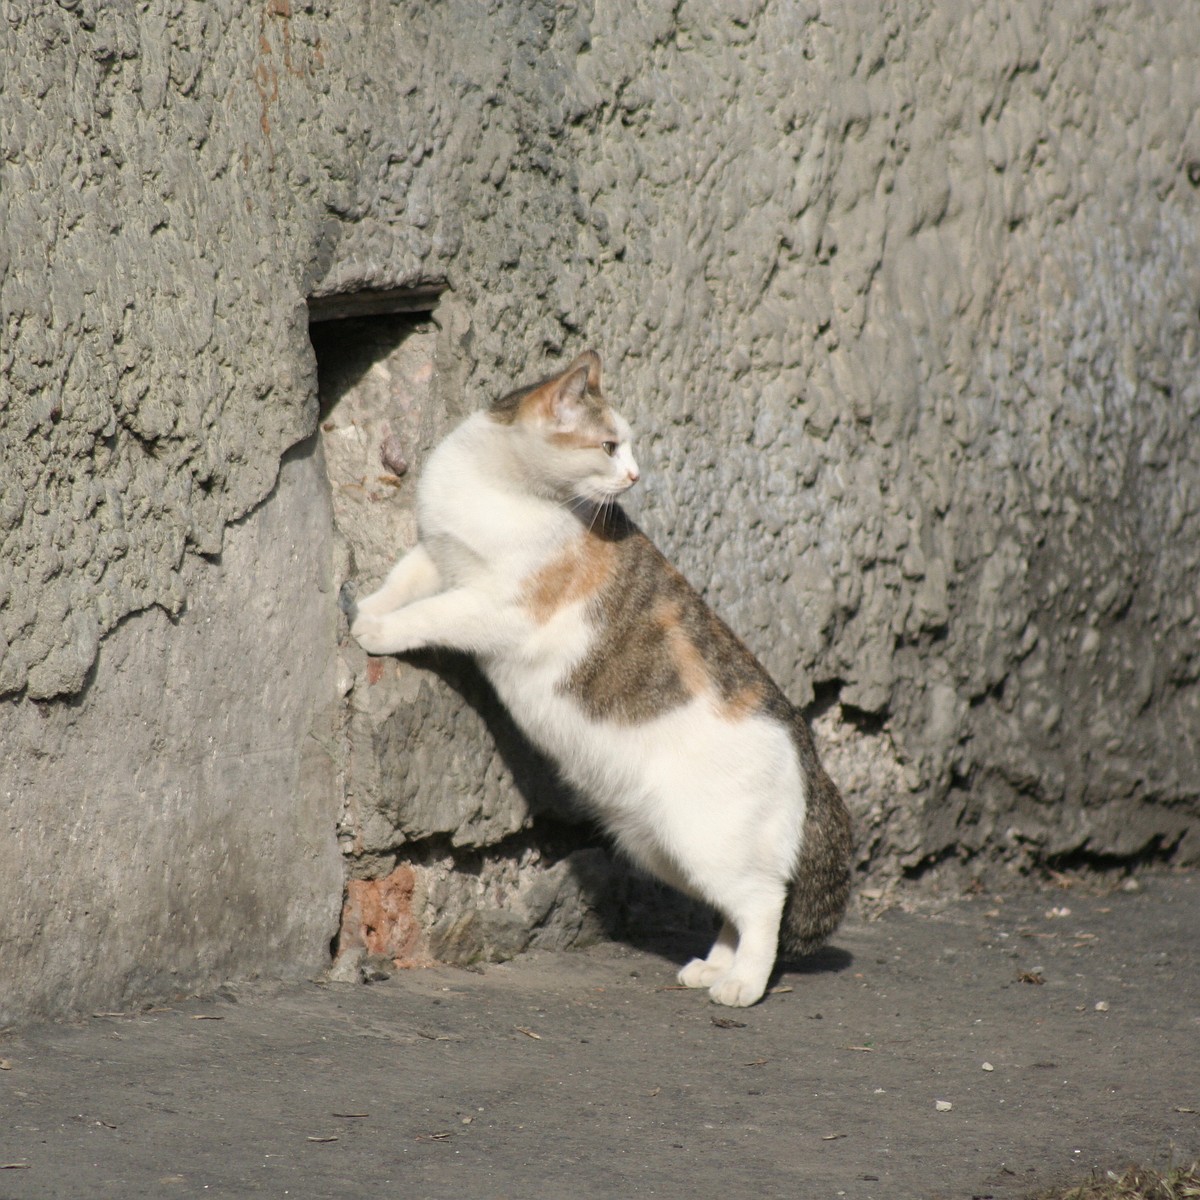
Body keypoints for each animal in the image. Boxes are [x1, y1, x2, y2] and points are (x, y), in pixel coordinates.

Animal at [348, 350, 854, 1003]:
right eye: (611, 445)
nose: (636, 476)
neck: (496, 487)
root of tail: (804, 739)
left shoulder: (499, 607)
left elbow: (430, 614)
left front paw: (379, 632)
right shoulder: (436, 555)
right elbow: (400, 585)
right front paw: (365, 608)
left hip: (705, 841)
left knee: (764, 903)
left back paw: (742, 984)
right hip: (660, 847)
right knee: (732, 911)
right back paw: (714, 967)